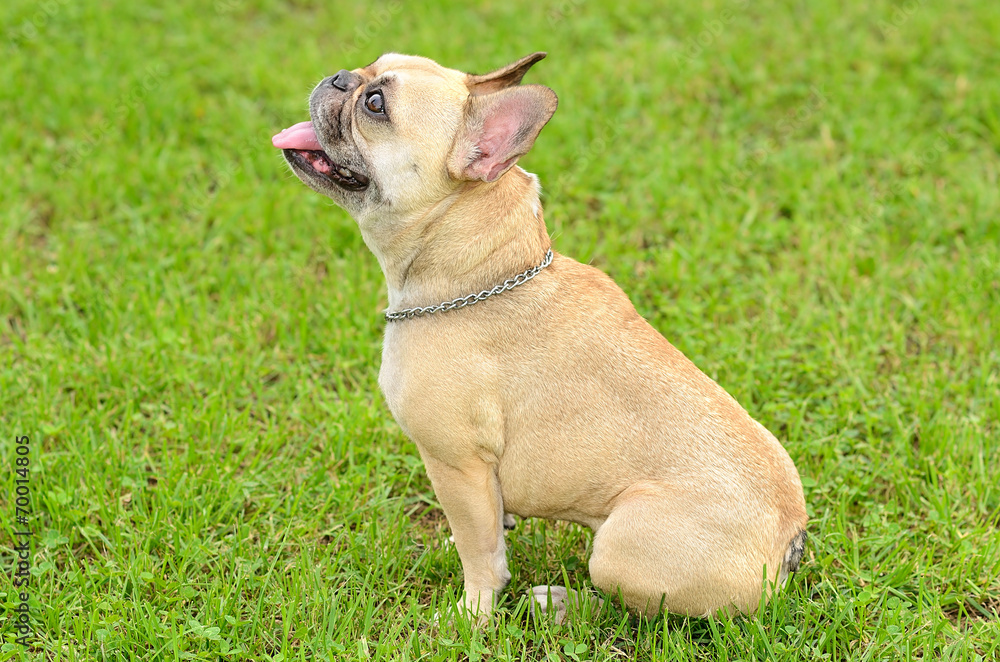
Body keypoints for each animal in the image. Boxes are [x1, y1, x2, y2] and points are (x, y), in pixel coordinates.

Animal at [272, 53, 804, 628]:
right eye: (371, 67)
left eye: (375, 104)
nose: (340, 78)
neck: (483, 268)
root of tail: (789, 541)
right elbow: (485, 529)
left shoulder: (456, 461)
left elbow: (480, 552)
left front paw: (472, 614)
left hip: (620, 548)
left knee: (632, 612)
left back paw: (560, 602)